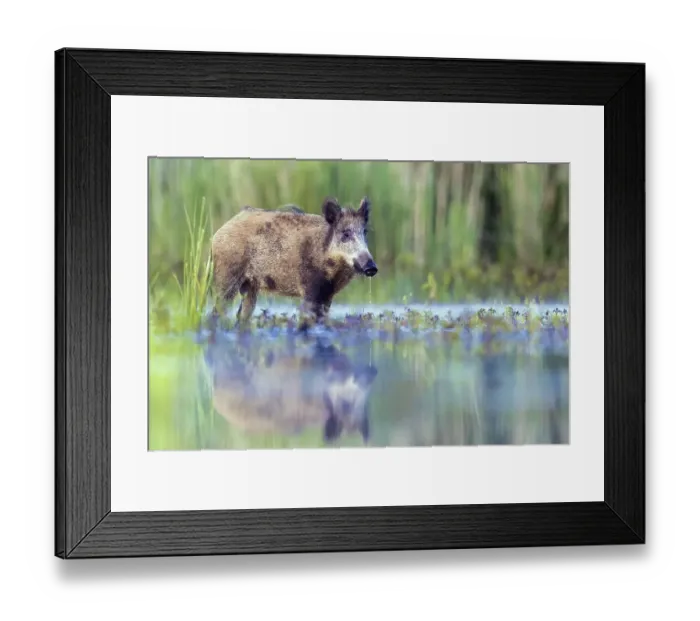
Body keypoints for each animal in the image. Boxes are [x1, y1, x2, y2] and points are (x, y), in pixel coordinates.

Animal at [210, 196, 378, 324]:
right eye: (346, 234)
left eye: (365, 232)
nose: (372, 267)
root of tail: (218, 233)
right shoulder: (311, 288)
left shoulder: (327, 295)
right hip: (226, 277)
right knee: (217, 311)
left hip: (250, 286)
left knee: (241, 315)